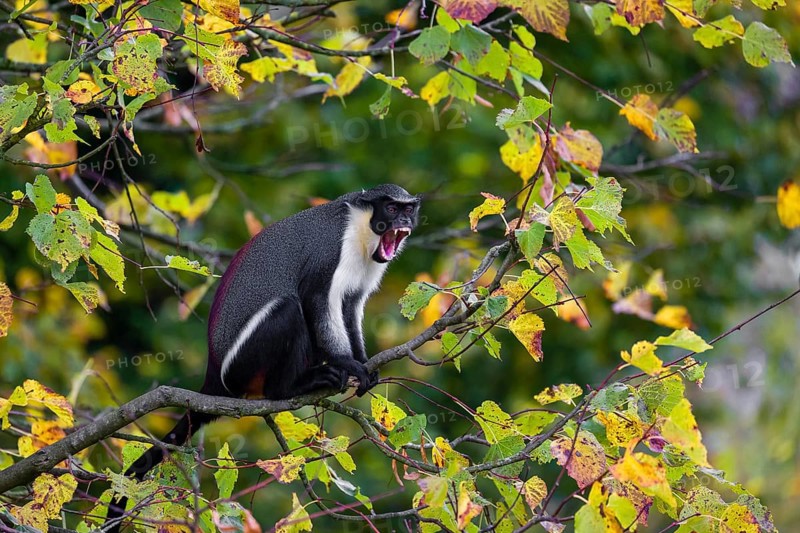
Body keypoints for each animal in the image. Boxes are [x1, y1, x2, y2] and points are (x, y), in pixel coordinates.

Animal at [105, 184, 420, 531]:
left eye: (408, 208)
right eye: (391, 208)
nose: (405, 220)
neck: (361, 230)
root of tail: (214, 374)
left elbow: (350, 306)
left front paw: (363, 363)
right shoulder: (330, 254)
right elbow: (315, 300)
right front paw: (348, 364)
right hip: (243, 363)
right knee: (288, 308)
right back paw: (291, 387)